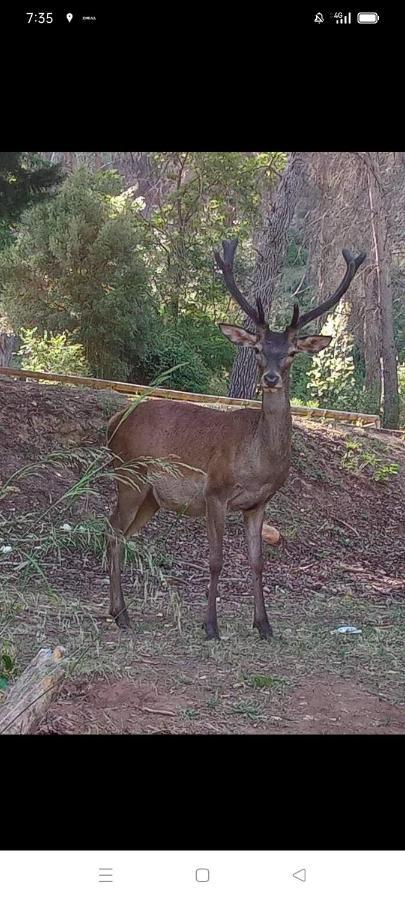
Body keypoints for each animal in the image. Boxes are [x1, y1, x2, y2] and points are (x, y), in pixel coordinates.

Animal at [105, 239, 364, 640]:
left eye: (291, 352)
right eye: (257, 349)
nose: (270, 378)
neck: (258, 462)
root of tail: (113, 422)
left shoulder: (258, 504)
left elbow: (257, 563)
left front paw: (264, 626)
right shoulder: (216, 492)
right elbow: (216, 560)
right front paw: (211, 625)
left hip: (150, 497)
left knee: (120, 534)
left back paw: (116, 610)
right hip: (129, 477)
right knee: (112, 531)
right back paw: (121, 614)